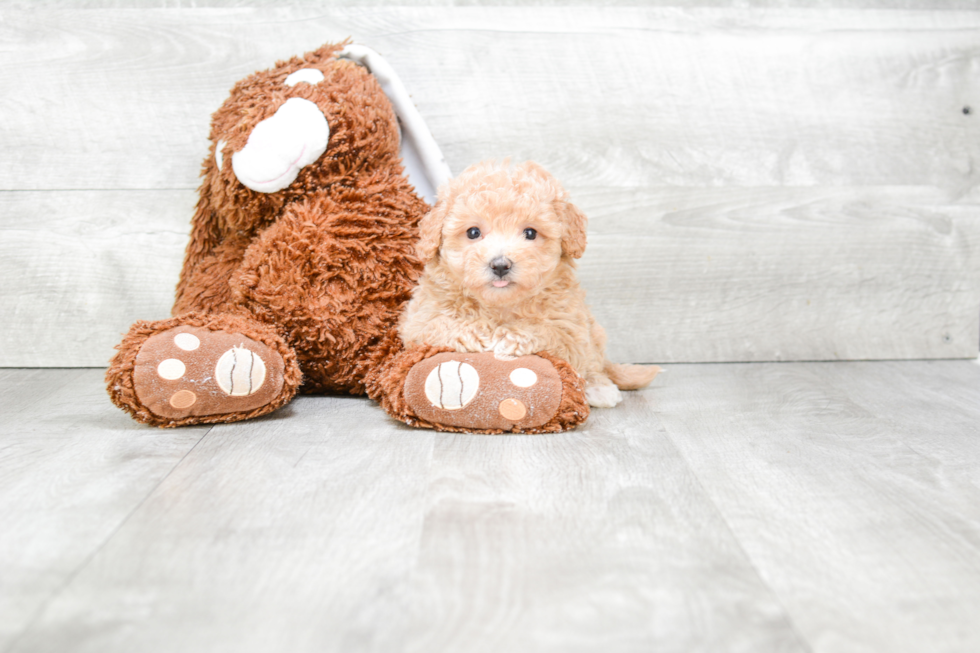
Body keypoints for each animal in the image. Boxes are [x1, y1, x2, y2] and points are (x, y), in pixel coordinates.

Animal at [398, 158, 660, 404]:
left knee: (594, 362)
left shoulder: (571, 327)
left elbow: (549, 332)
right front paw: (475, 333)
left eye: (530, 233)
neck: (499, 306)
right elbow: (439, 324)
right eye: (473, 232)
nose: (500, 265)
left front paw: (510, 337)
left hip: (592, 332)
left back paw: (599, 388)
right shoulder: (418, 321)